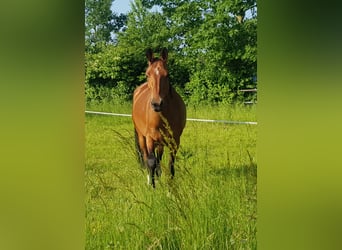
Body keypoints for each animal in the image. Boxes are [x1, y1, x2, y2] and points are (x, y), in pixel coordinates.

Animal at [132, 47, 186, 188]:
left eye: (167, 75)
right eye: (147, 74)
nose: (157, 104)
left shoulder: (174, 140)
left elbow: (171, 163)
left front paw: (170, 186)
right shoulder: (150, 138)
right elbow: (151, 161)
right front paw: (152, 186)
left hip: (161, 141)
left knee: (159, 158)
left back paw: (158, 175)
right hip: (142, 137)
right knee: (146, 157)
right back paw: (150, 178)